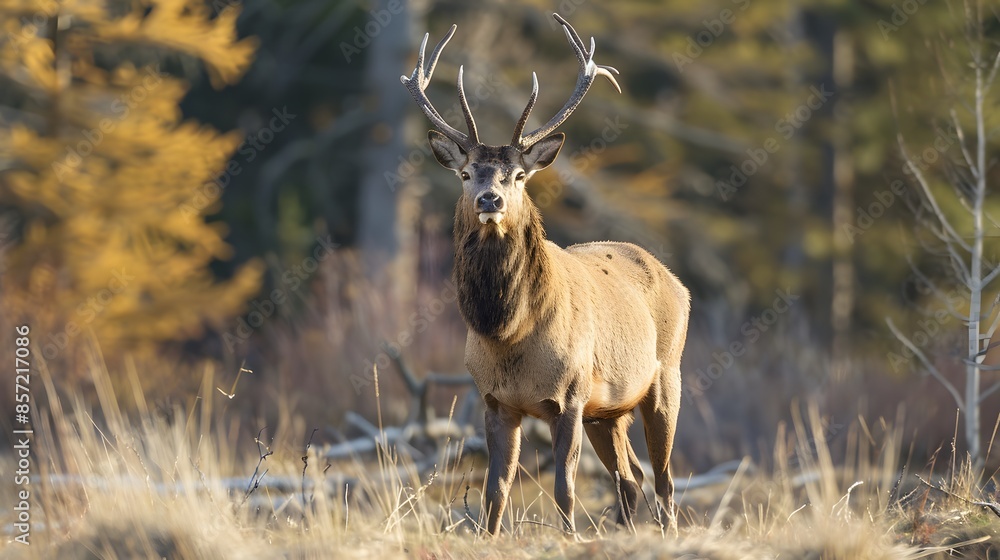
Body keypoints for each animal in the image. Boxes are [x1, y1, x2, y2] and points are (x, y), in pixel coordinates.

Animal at [401, 13, 690, 535]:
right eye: (466, 173)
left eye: (518, 175)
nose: (490, 199)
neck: (510, 335)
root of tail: (678, 282)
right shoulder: (496, 401)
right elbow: (495, 492)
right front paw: (491, 537)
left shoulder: (571, 397)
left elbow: (564, 488)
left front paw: (570, 537)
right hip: (608, 411)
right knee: (630, 477)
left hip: (665, 377)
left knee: (664, 480)